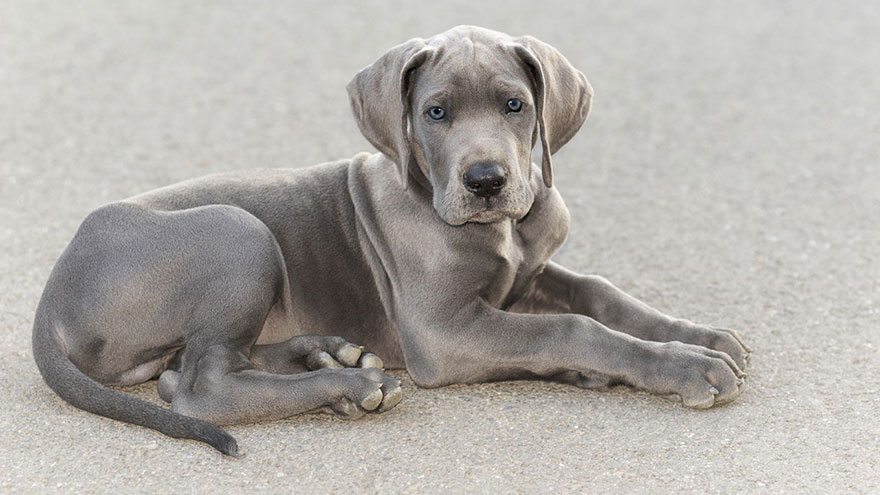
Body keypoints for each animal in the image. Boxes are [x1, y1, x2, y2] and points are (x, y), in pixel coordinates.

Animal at [32, 26, 748, 458]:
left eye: (515, 105)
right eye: (436, 112)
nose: (486, 181)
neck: (501, 230)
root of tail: (50, 298)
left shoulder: (526, 277)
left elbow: (601, 295)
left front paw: (703, 336)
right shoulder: (444, 332)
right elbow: (573, 327)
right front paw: (689, 366)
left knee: (196, 366)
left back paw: (329, 355)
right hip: (240, 232)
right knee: (199, 386)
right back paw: (349, 387)